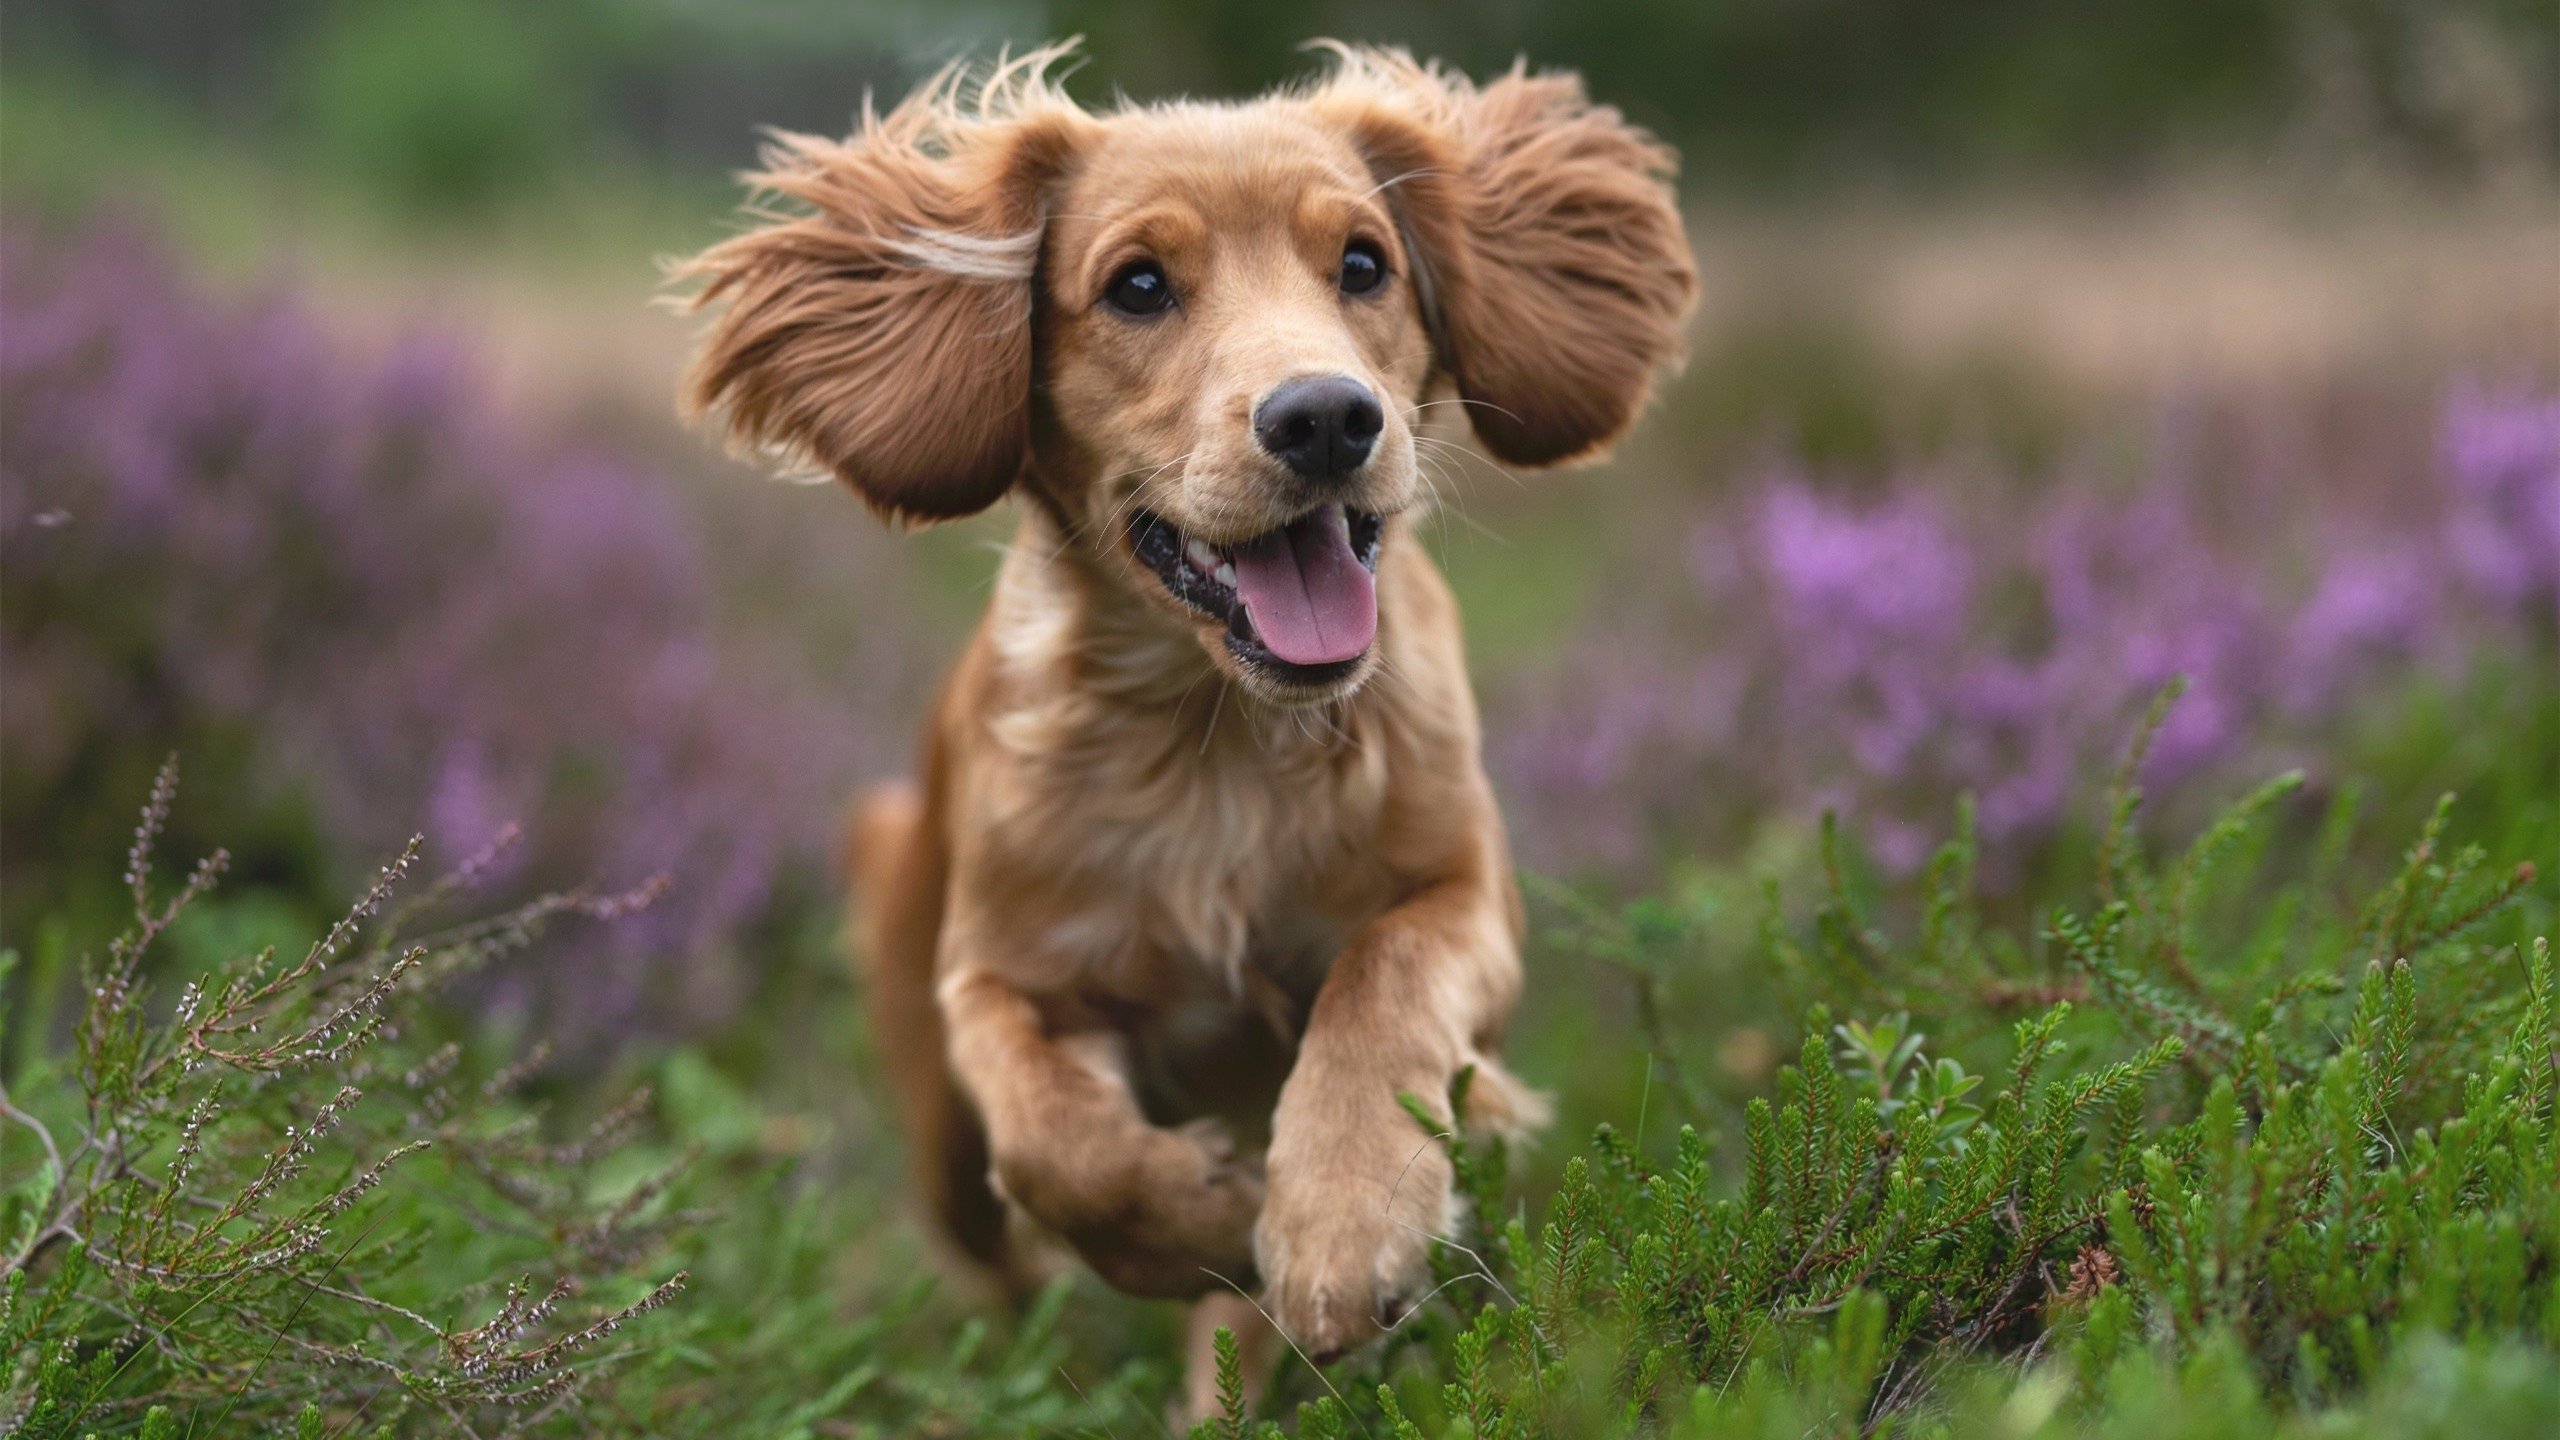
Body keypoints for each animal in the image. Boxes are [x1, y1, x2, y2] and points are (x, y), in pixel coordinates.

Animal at [670, 39, 1689, 1404]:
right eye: (1138, 287)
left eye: (1362, 264)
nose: (1327, 418)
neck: (1222, 743)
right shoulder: (997, 977)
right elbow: (1057, 1144)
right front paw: (1209, 1213)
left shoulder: (1464, 891)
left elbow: (1383, 986)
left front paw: (1344, 1218)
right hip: (929, 1107)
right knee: (985, 1230)